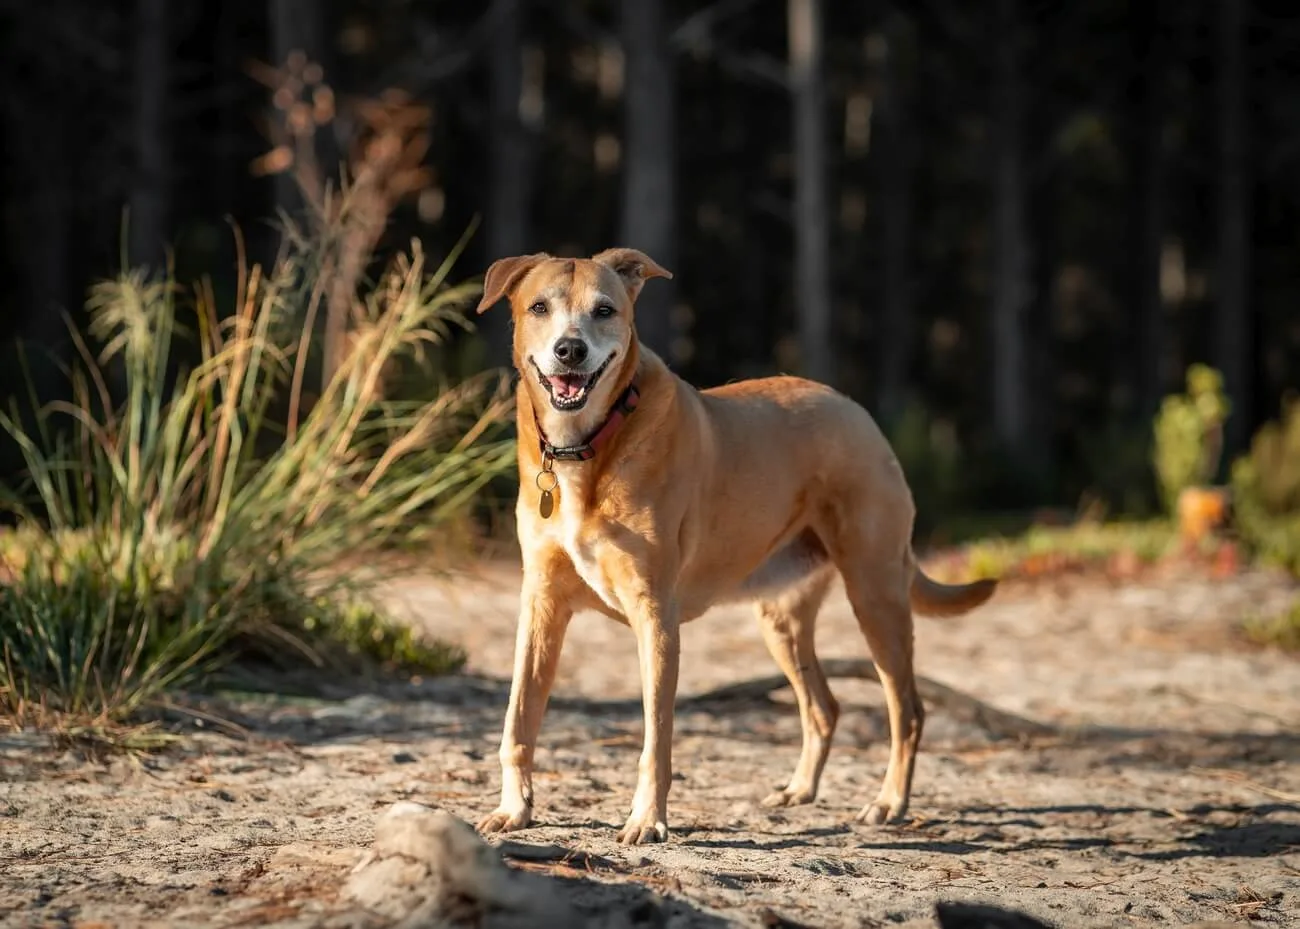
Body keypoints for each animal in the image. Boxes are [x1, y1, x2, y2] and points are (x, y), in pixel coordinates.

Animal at [475, 250, 993, 847]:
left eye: (604, 310)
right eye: (539, 307)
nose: (570, 350)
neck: (585, 445)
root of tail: (853, 407)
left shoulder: (656, 616)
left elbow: (656, 740)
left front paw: (646, 820)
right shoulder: (541, 607)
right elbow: (518, 718)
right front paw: (514, 810)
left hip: (876, 597)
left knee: (906, 710)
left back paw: (889, 803)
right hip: (781, 620)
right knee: (824, 707)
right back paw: (799, 790)